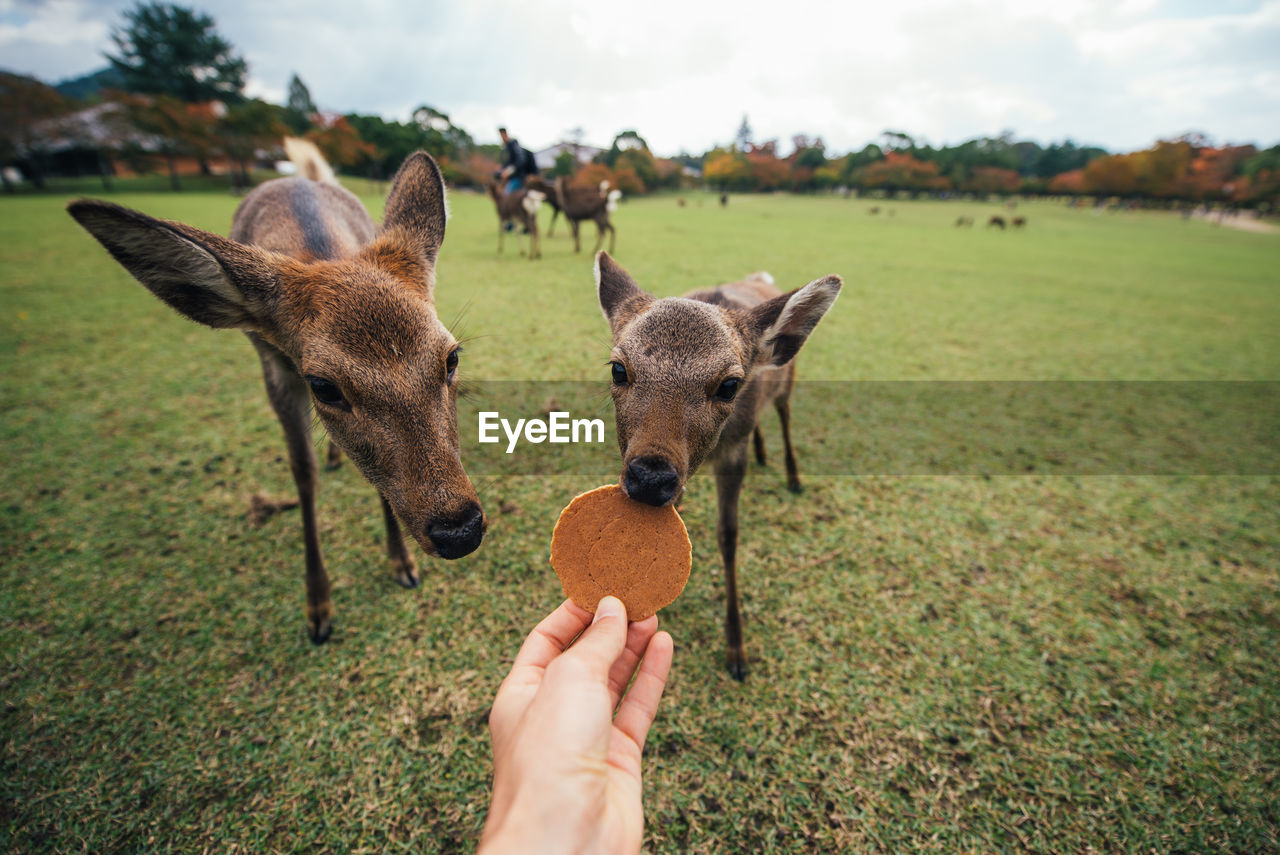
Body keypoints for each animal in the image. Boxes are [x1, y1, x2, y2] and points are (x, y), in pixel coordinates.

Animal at [71, 143, 488, 645]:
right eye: (324, 386)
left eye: (451, 358)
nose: (459, 530)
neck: (319, 254)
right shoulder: (275, 369)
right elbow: (303, 472)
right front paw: (318, 608)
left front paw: (401, 563)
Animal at [593, 248, 844, 680]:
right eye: (618, 369)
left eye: (729, 385)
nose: (649, 478)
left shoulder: (732, 453)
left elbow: (729, 535)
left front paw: (737, 650)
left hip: (789, 381)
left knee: (785, 414)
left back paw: (793, 476)